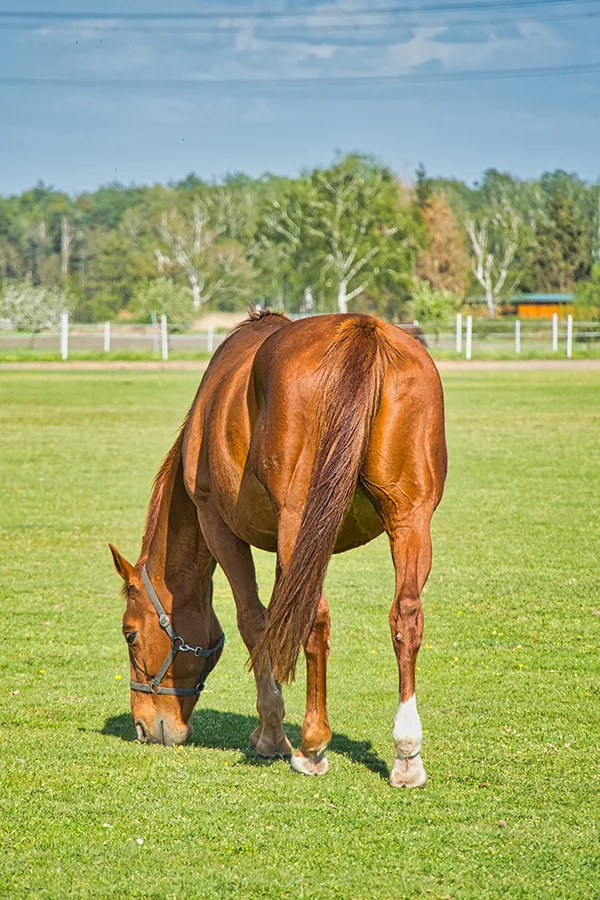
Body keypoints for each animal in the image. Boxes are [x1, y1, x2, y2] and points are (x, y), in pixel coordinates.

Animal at [109, 310, 447, 788]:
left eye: (130, 634)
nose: (143, 726)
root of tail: (362, 330)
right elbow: (278, 619)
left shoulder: (219, 525)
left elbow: (255, 622)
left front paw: (271, 734)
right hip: (410, 519)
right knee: (406, 616)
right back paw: (406, 753)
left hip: (299, 520)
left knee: (316, 618)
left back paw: (312, 745)